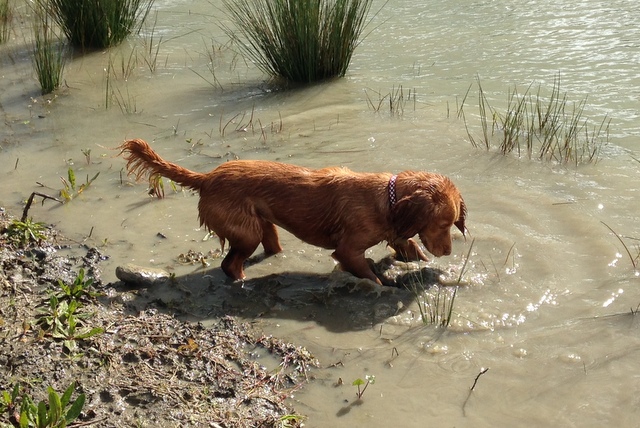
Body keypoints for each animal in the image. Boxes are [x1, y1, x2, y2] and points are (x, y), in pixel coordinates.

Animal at [119, 139, 466, 285]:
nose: (449, 252)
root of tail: (207, 177)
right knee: (229, 265)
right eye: (443, 224)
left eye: (452, 224)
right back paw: (243, 281)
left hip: (264, 226)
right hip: (247, 232)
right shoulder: (348, 250)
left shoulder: (399, 236)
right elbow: (370, 276)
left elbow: (413, 252)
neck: (386, 200)